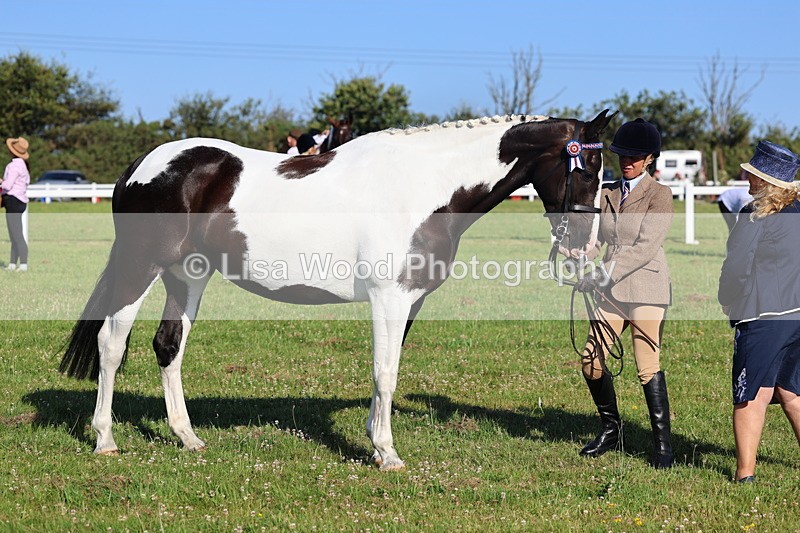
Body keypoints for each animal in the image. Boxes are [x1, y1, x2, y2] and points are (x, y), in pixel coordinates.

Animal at [60, 109, 614, 471]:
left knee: (168, 345)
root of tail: (142, 166)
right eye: (586, 168)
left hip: (187, 274)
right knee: (112, 345)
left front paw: (376, 442)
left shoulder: (409, 301)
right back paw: (105, 440)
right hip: (142, 267)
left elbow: (388, 370)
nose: (585, 245)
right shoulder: (388, 296)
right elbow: (385, 372)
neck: (422, 186)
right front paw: (387, 454)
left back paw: (188, 438)